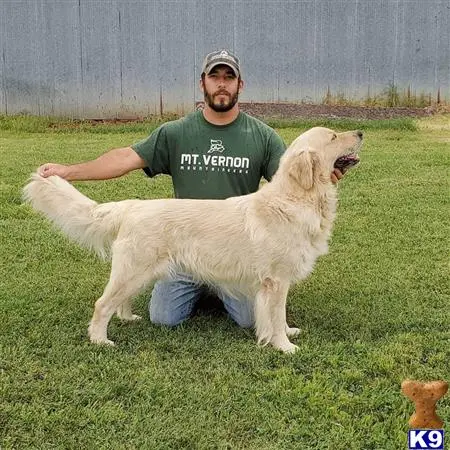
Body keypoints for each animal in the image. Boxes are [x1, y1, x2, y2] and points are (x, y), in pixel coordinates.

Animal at [23, 126, 362, 352]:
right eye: (333, 137)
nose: (360, 132)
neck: (297, 199)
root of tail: (131, 206)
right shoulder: (275, 280)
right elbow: (276, 316)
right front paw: (283, 345)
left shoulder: (277, 282)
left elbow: (279, 316)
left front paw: (289, 332)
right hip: (133, 270)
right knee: (102, 304)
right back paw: (100, 339)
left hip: (140, 272)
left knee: (120, 302)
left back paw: (129, 317)